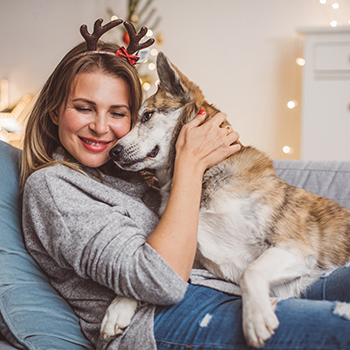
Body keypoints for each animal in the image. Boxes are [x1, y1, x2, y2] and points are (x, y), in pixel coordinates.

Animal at [102, 52, 350, 348]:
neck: (203, 178)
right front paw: (118, 308)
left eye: (148, 116)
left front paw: (255, 319)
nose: (112, 152)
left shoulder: (294, 247)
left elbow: (250, 272)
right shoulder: (190, 260)